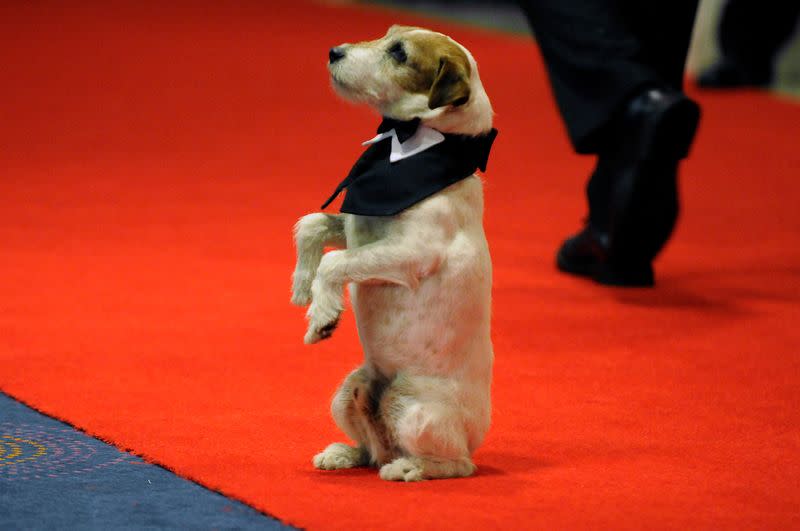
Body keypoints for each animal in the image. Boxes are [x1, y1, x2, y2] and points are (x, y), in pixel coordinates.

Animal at [290, 25, 496, 482]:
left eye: (399, 54)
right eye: (388, 36)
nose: (334, 52)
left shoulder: (409, 254)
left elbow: (335, 262)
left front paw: (322, 317)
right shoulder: (357, 229)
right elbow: (311, 224)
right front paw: (301, 287)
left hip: (414, 408)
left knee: (457, 464)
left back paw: (409, 468)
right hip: (347, 391)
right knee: (369, 447)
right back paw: (344, 454)